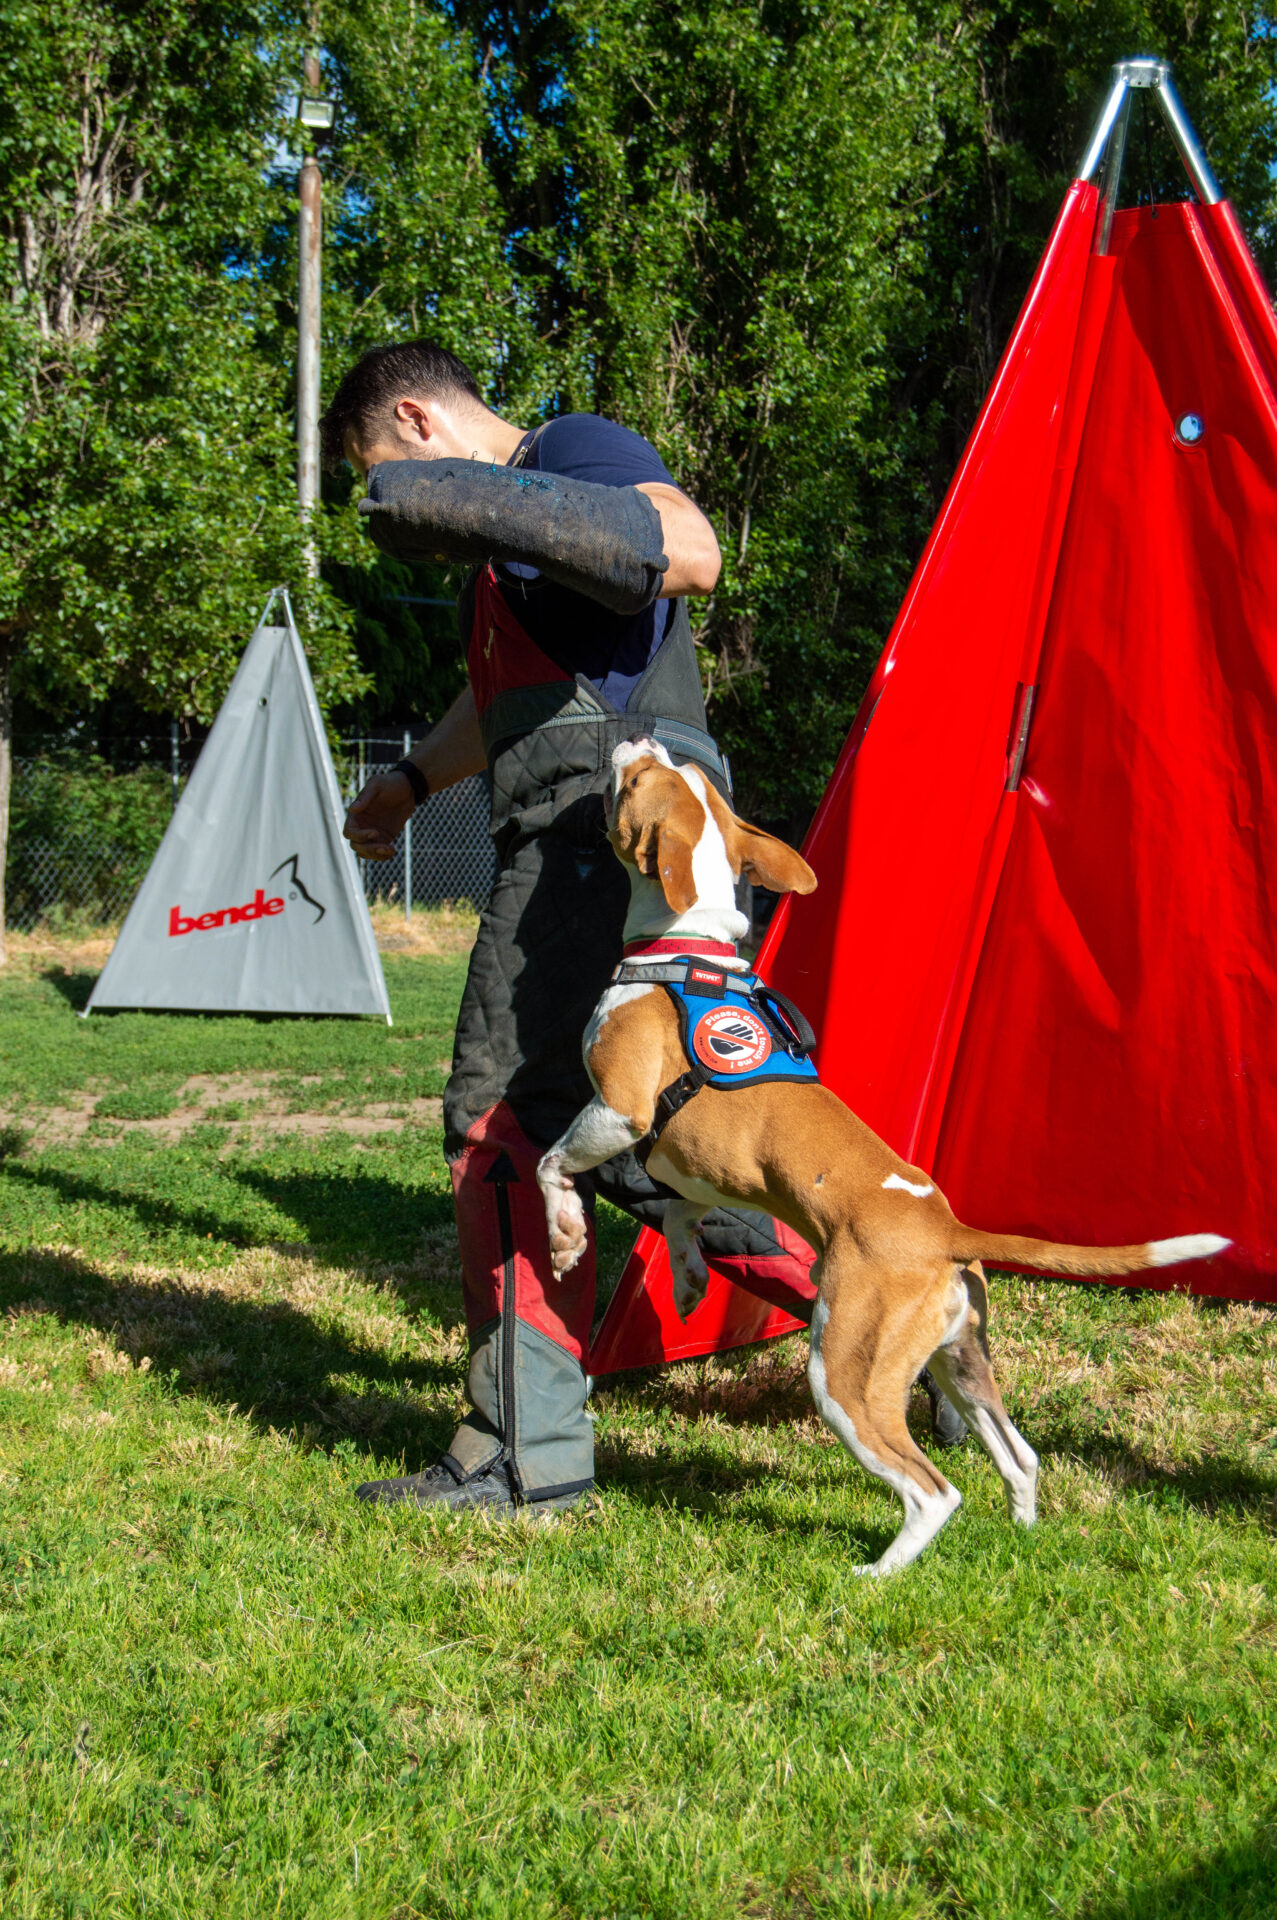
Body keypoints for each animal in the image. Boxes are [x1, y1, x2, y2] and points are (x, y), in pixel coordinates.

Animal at [536, 738, 1230, 1574]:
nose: (635, 742)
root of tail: (946, 1230)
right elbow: (677, 1218)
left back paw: (879, 1571)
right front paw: (690, 1279)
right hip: (959, 1362)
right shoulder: (692, 1167)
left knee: (932, 1489)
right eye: (673, 773)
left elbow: (552, 1163)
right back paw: (1021, 1533)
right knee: (1019, 1457)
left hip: (845, 1372)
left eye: (636, 781)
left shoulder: (620, 1110)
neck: (685, 948)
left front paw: (564, 1238)